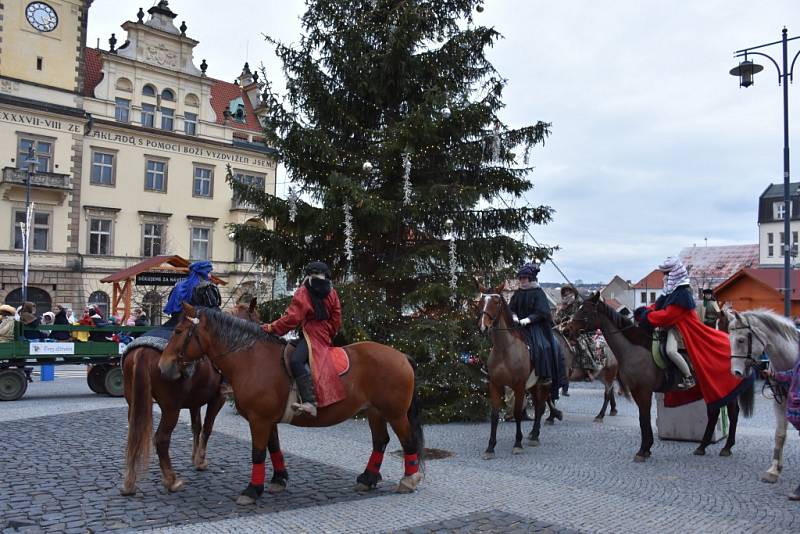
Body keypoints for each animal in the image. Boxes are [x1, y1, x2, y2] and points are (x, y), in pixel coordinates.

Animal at [120, 302, 260, 498]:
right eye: (258, 320)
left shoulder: (195, 402)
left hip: (134, 405)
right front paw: (200, 461)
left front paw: (194, 458)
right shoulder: (218, 398)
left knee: (135, 436)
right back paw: (171, 480)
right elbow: (207, 428)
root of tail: (142, 352)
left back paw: (129, 483)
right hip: (171, 408)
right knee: (161, 439)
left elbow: (196, 427)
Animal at [159, 306, 428, 506]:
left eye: (179, 331)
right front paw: (279, 480)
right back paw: (368, 478)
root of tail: (402, 356)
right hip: (374, 412)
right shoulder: (267, 420)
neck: (251, 358)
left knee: (408, 442)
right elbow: (273, 448)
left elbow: (258, 453)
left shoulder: (259, 420)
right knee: (380, 441)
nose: (163, 366)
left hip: (396, 413)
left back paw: (409, 479)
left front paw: (252, 490)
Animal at [478, 284, 552, 460]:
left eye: (496, 302)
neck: (505, 349)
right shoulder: (495, 385)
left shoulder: (518, 386)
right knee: (538, 406)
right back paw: (533, 434)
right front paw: (490, 447)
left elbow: (518, 413)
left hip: (544, 384)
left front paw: (517, 444)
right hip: (533, 386)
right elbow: (494, 415)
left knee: (540, 407)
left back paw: (535, 436)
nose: (483, 327)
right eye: (481, 301)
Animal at [564, 296, 752, 462]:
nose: (567, 330)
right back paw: (702, 446)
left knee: (733, 413)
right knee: (713, 413)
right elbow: (643, 419)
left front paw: (643, 450)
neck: (634, 349)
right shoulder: (637, 391)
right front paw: (647, 449)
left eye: (585, 310)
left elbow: (644, 418)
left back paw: (726, 447)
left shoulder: (643, 391)